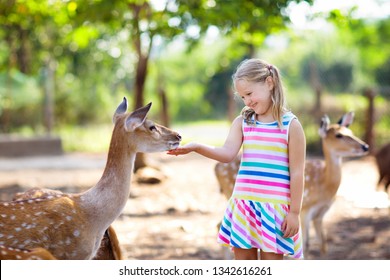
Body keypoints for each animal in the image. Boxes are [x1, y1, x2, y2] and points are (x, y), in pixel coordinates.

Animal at [213, 112, 368, 258]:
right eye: (338, 135)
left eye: (351, 132)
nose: (365, 146)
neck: (325, 185)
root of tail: (216, 167)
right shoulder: (305, 209)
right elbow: (306, 245)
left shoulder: (321, 214)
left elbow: (323, 244)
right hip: (229, 191)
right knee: (221, 226)